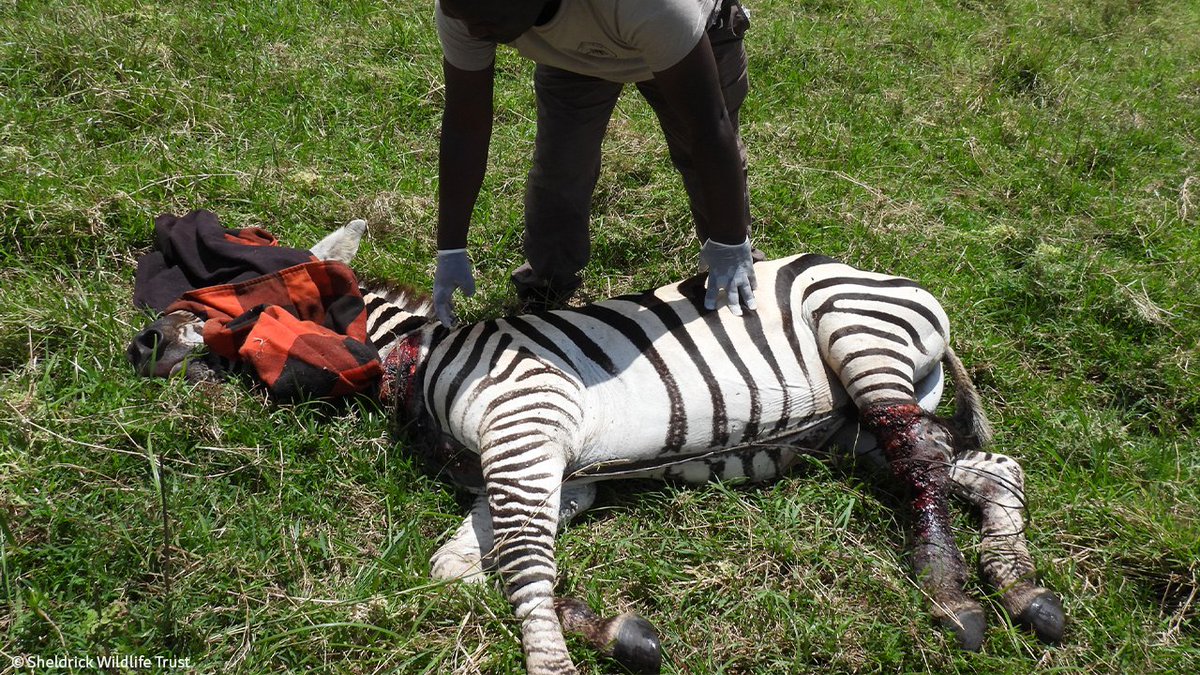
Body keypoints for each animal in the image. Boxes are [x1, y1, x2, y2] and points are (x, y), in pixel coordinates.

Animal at [129, 221, 1065, 674]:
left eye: (234, 284)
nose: (139, 347)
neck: (421, 357)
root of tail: (899, 284)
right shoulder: (551, 472)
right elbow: (472, 566)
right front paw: (619, 633)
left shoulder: (527, 429)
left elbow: (521, 563)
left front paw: (551, 661)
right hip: (847, 429)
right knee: (975, 466)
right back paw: (1023, 589)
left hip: (857, 341)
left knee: (925, 461)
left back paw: (953, 595)